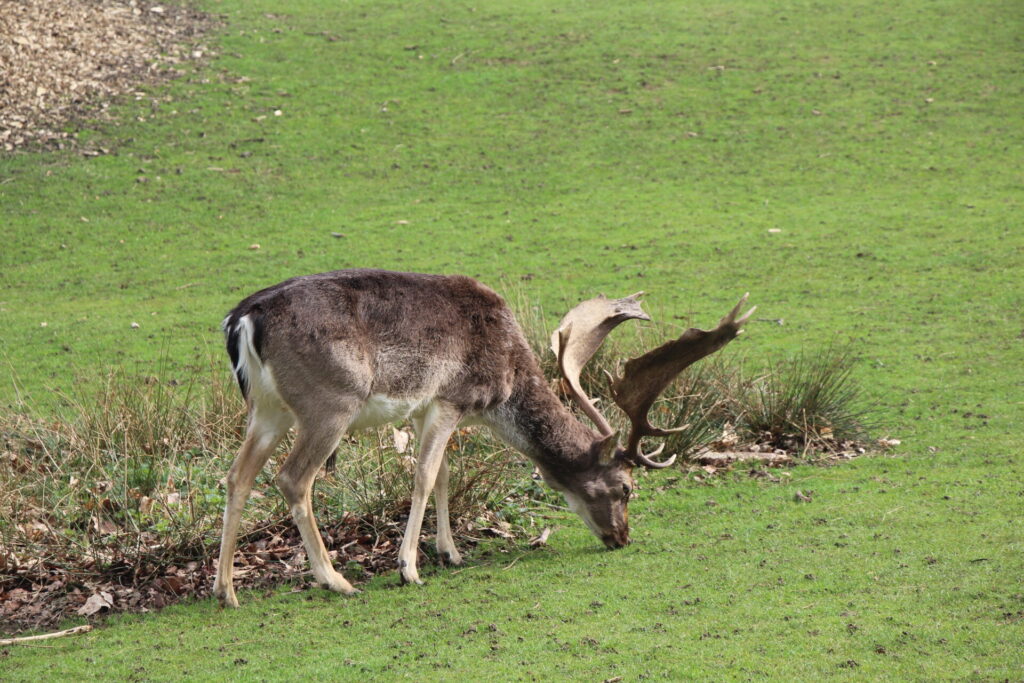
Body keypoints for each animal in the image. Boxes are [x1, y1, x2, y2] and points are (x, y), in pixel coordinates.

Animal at [212, 269, 754, 607]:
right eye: (626, 488)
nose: (622, 538)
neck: (502, 393)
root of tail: (243, 319)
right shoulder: (451, 397)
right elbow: (425, 476)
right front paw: (409, 568)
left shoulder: (423, 408)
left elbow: (445, 476)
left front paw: (449, 552)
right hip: (329, 402)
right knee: (292, 478)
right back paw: (335, 581)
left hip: (267, 408)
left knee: (237, 476)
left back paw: (227, 591)